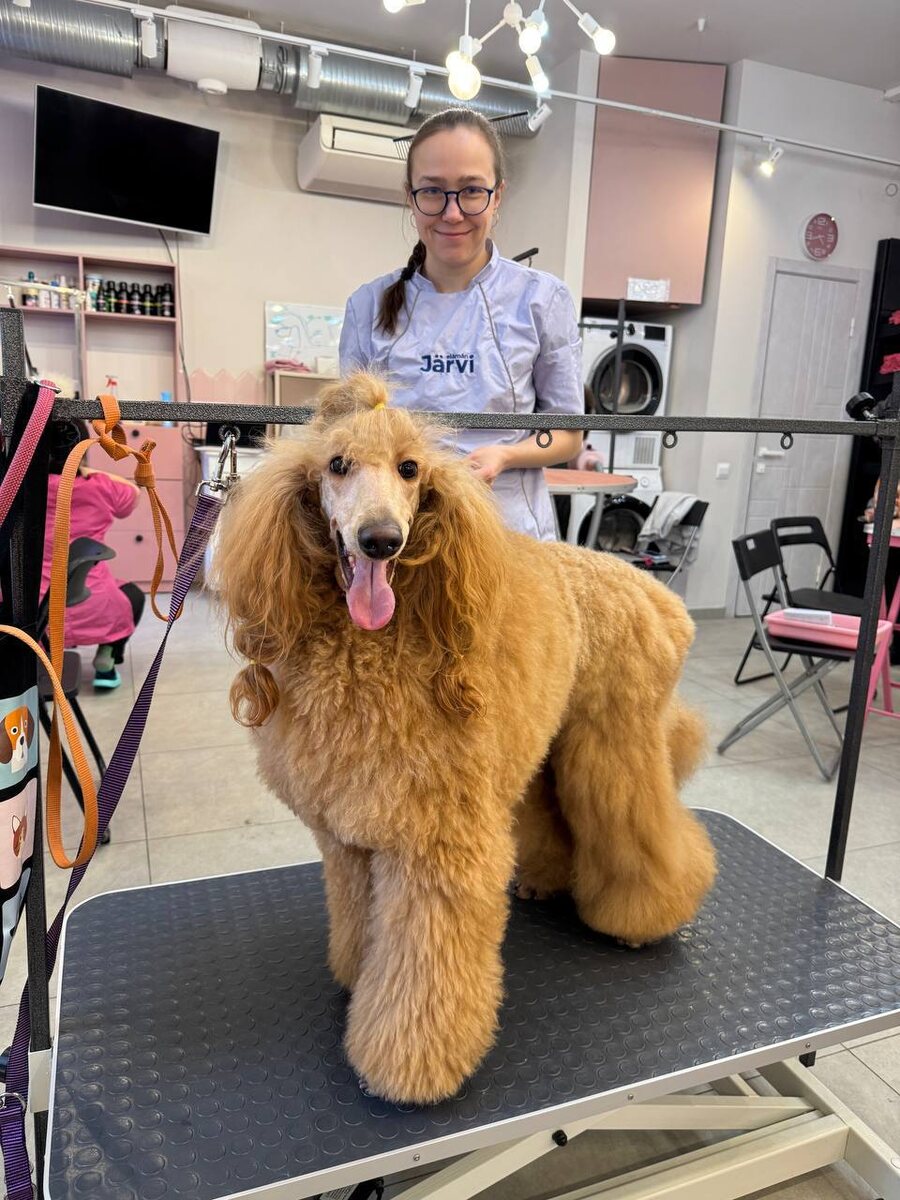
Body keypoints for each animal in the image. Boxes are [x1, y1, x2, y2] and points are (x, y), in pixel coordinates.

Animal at [215, 373, 716, 1105]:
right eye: (336, 466)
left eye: (409, 470)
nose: (381, 540)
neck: (370, 650)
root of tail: (658, 597)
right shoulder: (352, 841)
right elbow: (362, 920)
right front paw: (358, 975)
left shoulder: (439, 843)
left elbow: (424, 969)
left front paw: (406, 1065)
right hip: (547, 748)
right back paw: (545, 881)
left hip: (611, 741)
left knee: (642, 827)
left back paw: (642, 916)